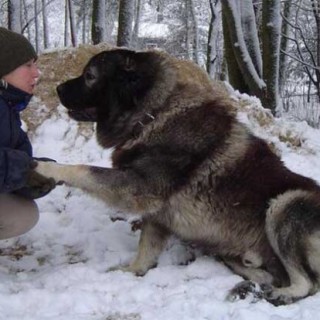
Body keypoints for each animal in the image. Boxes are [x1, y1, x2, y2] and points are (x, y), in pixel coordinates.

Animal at [35, 48, 320, 304]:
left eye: (90, 76)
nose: (58, 88)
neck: (152, 116)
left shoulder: (138, 188)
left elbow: (82, 169)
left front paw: (44, 168)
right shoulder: (156, 211)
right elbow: (146, 248)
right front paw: (132, 271)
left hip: (284, 205)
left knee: (307, 283)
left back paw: (281, 293)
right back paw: (257, 276)